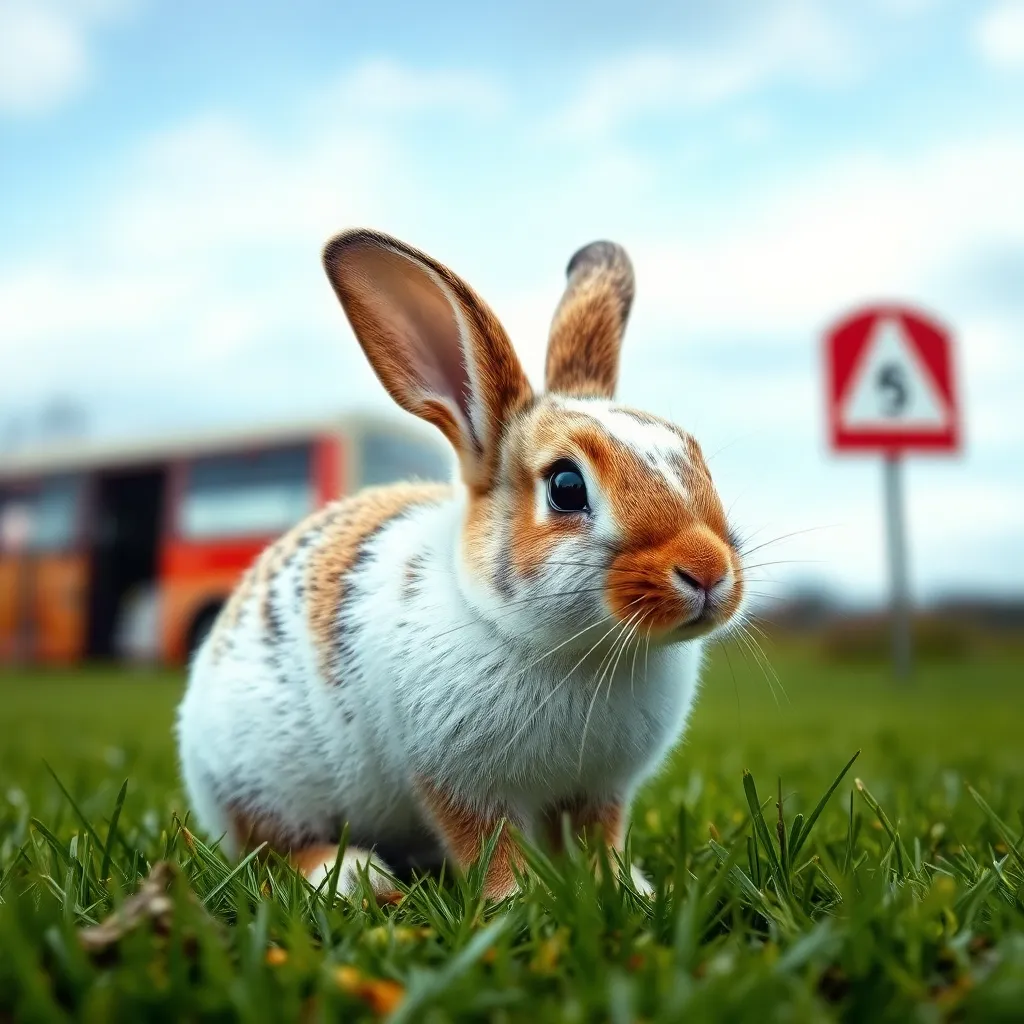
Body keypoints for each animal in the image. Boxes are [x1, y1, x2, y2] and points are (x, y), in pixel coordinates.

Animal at [175, 228, 747, 902]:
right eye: (566, 487)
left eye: (697, 458)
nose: (707, 572)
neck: (576, 649)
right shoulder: (460, 785)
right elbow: (488, 845)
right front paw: (516, 901)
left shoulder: (600, 791)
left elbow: (596, 838)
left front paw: (622, 889)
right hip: (260, 780)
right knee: (271, 847)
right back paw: (352, 875)